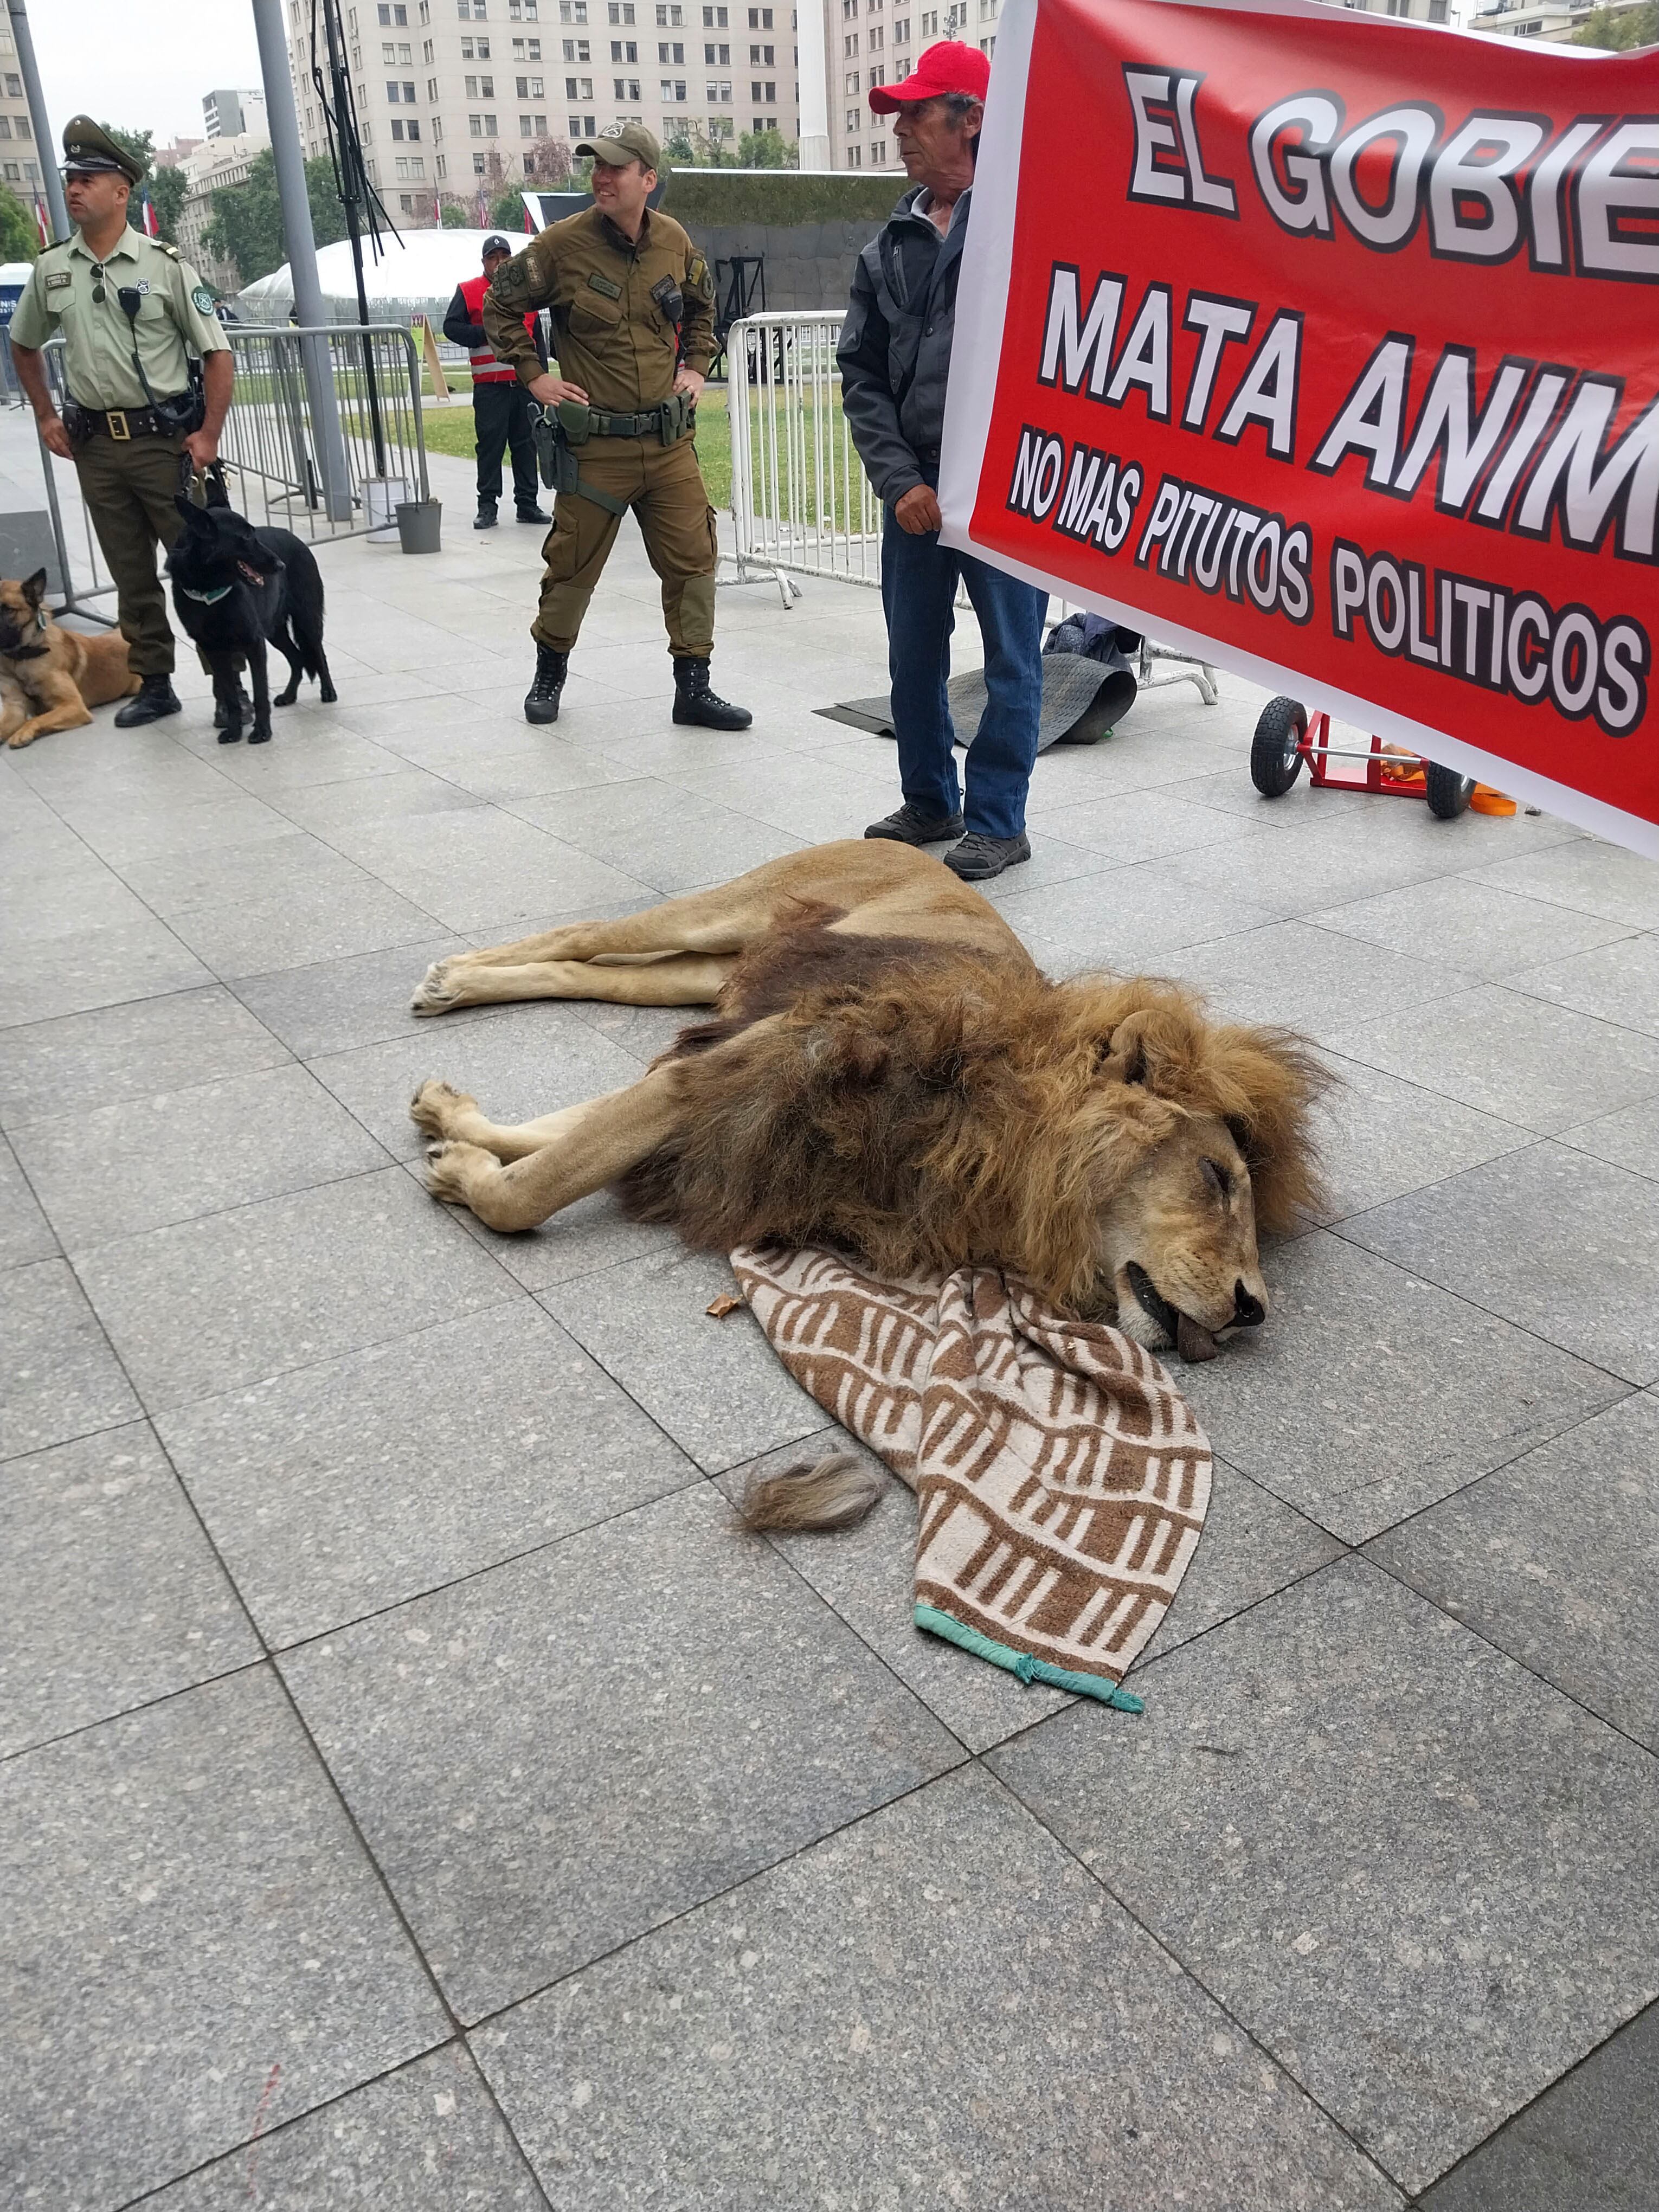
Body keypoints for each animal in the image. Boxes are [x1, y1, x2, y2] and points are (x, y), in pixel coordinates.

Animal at [408, 840, 1327, 1362]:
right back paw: (450, 976)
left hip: (706, 976)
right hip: (721, 916)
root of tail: (920, 850)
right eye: (1216, 1178)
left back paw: (455, 998)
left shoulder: (724, 1067)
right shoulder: (754, 1060)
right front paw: (464, 1174)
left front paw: (455, 1128)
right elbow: (537, 1188)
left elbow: (561, 1133)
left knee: (592, 970)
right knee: (585, 936)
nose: (1253, 1309)